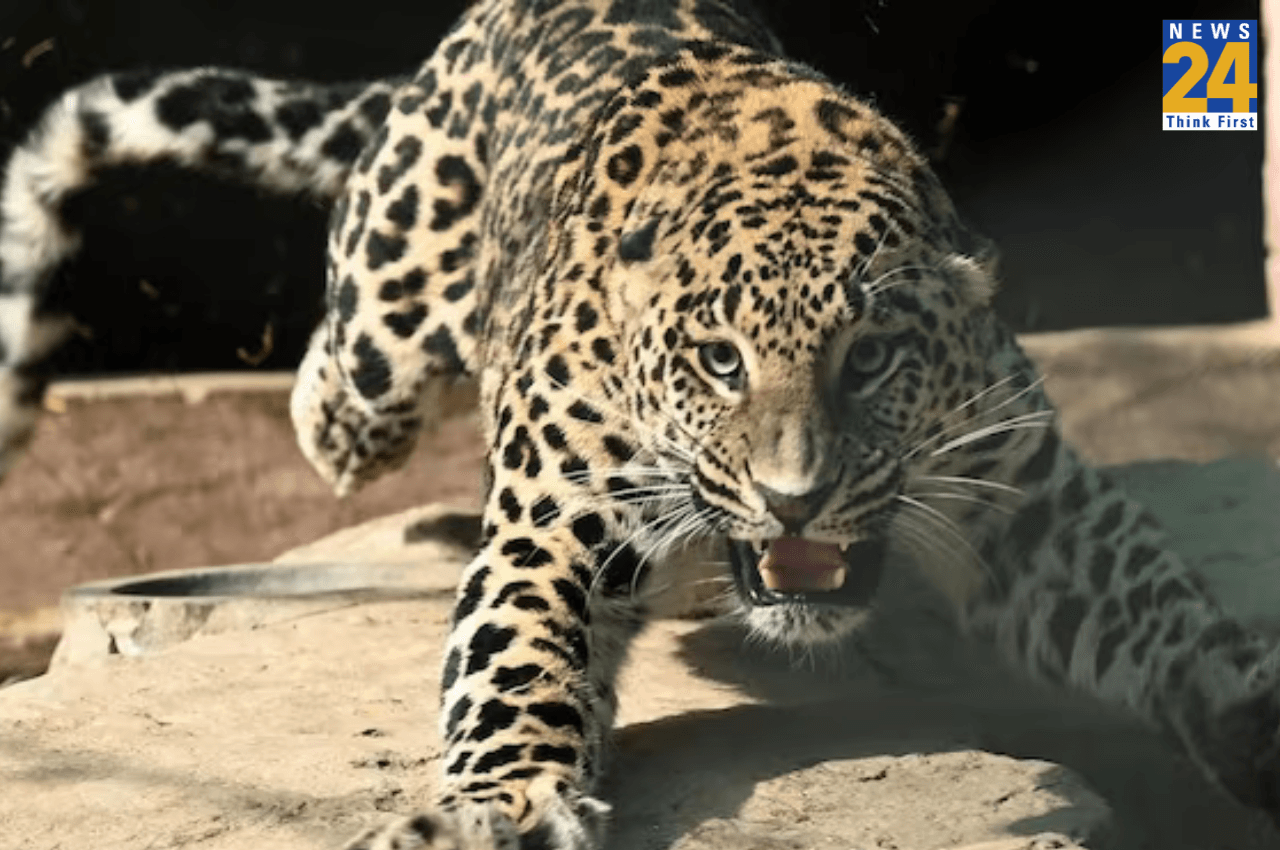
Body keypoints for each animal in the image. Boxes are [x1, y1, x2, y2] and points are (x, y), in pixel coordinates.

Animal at [2, 0, 1280, 847]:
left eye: (869, 359)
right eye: (718, 360)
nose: (793, 500)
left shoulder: (1023, 497)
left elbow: (1149, 599)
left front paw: (1245, 709)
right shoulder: (552, 525)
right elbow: (516, 664)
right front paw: (506, 804)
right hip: (386, 314)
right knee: (336, 387)